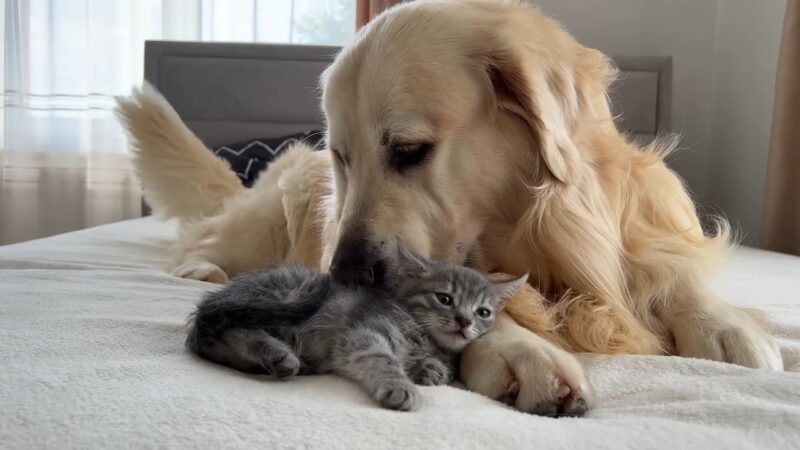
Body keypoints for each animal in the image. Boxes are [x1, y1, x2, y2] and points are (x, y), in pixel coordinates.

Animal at [184, 243, 528, 412]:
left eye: (483, 312)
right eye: (444, 298)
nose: (465, 321)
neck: (426, 338)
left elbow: (439, 366)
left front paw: (432, 369)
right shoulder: (365, 334)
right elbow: (382, 360)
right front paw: (401, 386)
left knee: (211, 340)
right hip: (289, 294)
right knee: (222, 328)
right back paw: (275, 354)